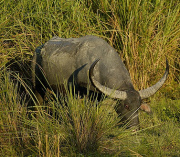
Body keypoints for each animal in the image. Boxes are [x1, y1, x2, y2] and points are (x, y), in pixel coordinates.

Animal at [32, 35, 169, 129]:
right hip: (37, 86)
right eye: (126, 106)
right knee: (38, 102)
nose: (134, 129)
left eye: (139, 106)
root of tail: (39, 49)